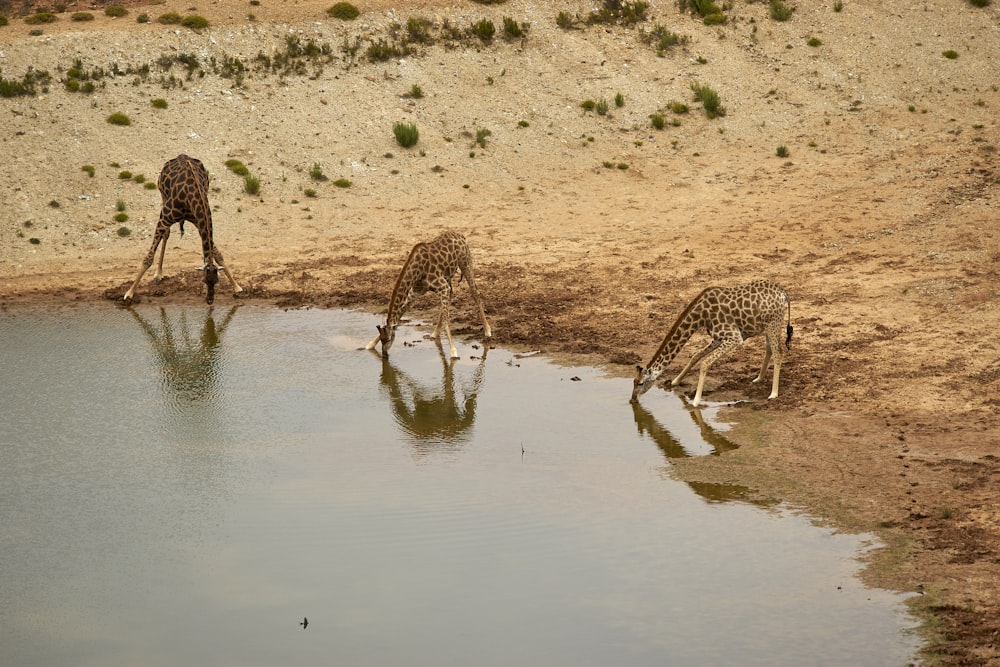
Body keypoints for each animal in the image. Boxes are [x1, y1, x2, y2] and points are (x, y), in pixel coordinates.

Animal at [122, 154, 243, 306]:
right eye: (203, 280)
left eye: (217, 281)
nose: (210, 300)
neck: (191, 198)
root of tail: (181, 155)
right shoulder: (164, 220)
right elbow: (148, 259)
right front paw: (129, 293)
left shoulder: (199, 222)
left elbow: (218, 254)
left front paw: (237, 287)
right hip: (163, 196)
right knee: (166, 233)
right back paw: (158, 274)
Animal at [628, 278, 792, 404]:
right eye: (633, 382)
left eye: (641, 383)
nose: (632, 399)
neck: (700, 316)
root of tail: (783, 293)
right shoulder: (719, 338)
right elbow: (696, 356)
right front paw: (675, 381)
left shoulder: (734, 337)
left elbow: (705, 363)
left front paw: (695, 402)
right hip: (767, 325)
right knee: (770, 348)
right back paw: (758, 378)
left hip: (773, 322)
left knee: (778, 353)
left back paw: (773, 393)